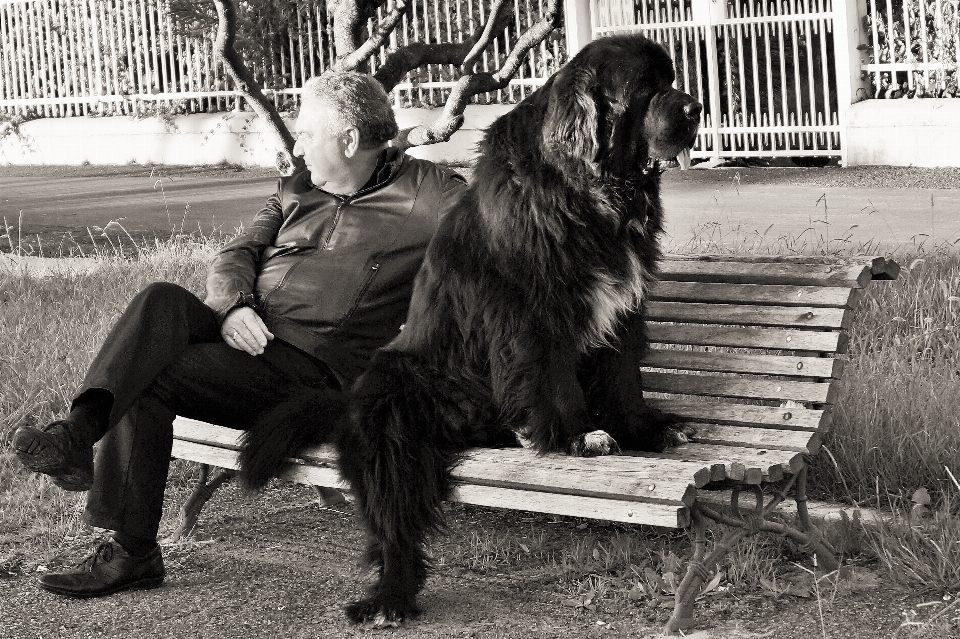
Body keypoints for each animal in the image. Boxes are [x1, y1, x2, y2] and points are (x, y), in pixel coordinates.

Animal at [334, 33, 700, 624]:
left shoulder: (625, 304)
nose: (696, 107)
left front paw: (645, 427)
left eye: (670, 79)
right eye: (646, 87)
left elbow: (624, 376)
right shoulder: (535, 310)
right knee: (394, 509)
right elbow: (553, 376)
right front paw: (577, 435)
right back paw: (392, 593)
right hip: (393, 400)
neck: (588, 187)